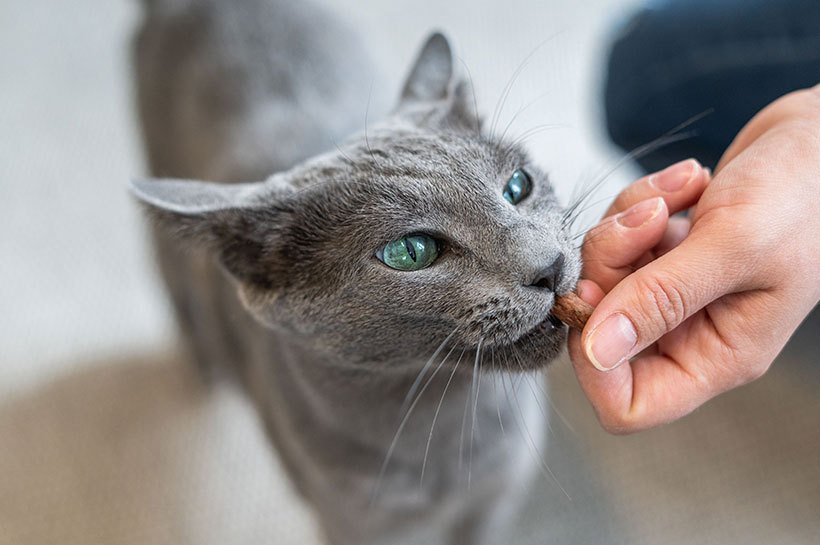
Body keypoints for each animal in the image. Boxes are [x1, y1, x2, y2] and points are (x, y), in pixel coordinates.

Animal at [131, 1, 580, 544]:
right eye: (410, 251)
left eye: (518, 186)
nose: (550, 266)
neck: (448, 441)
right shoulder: (358, 525)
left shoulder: (495, 500)